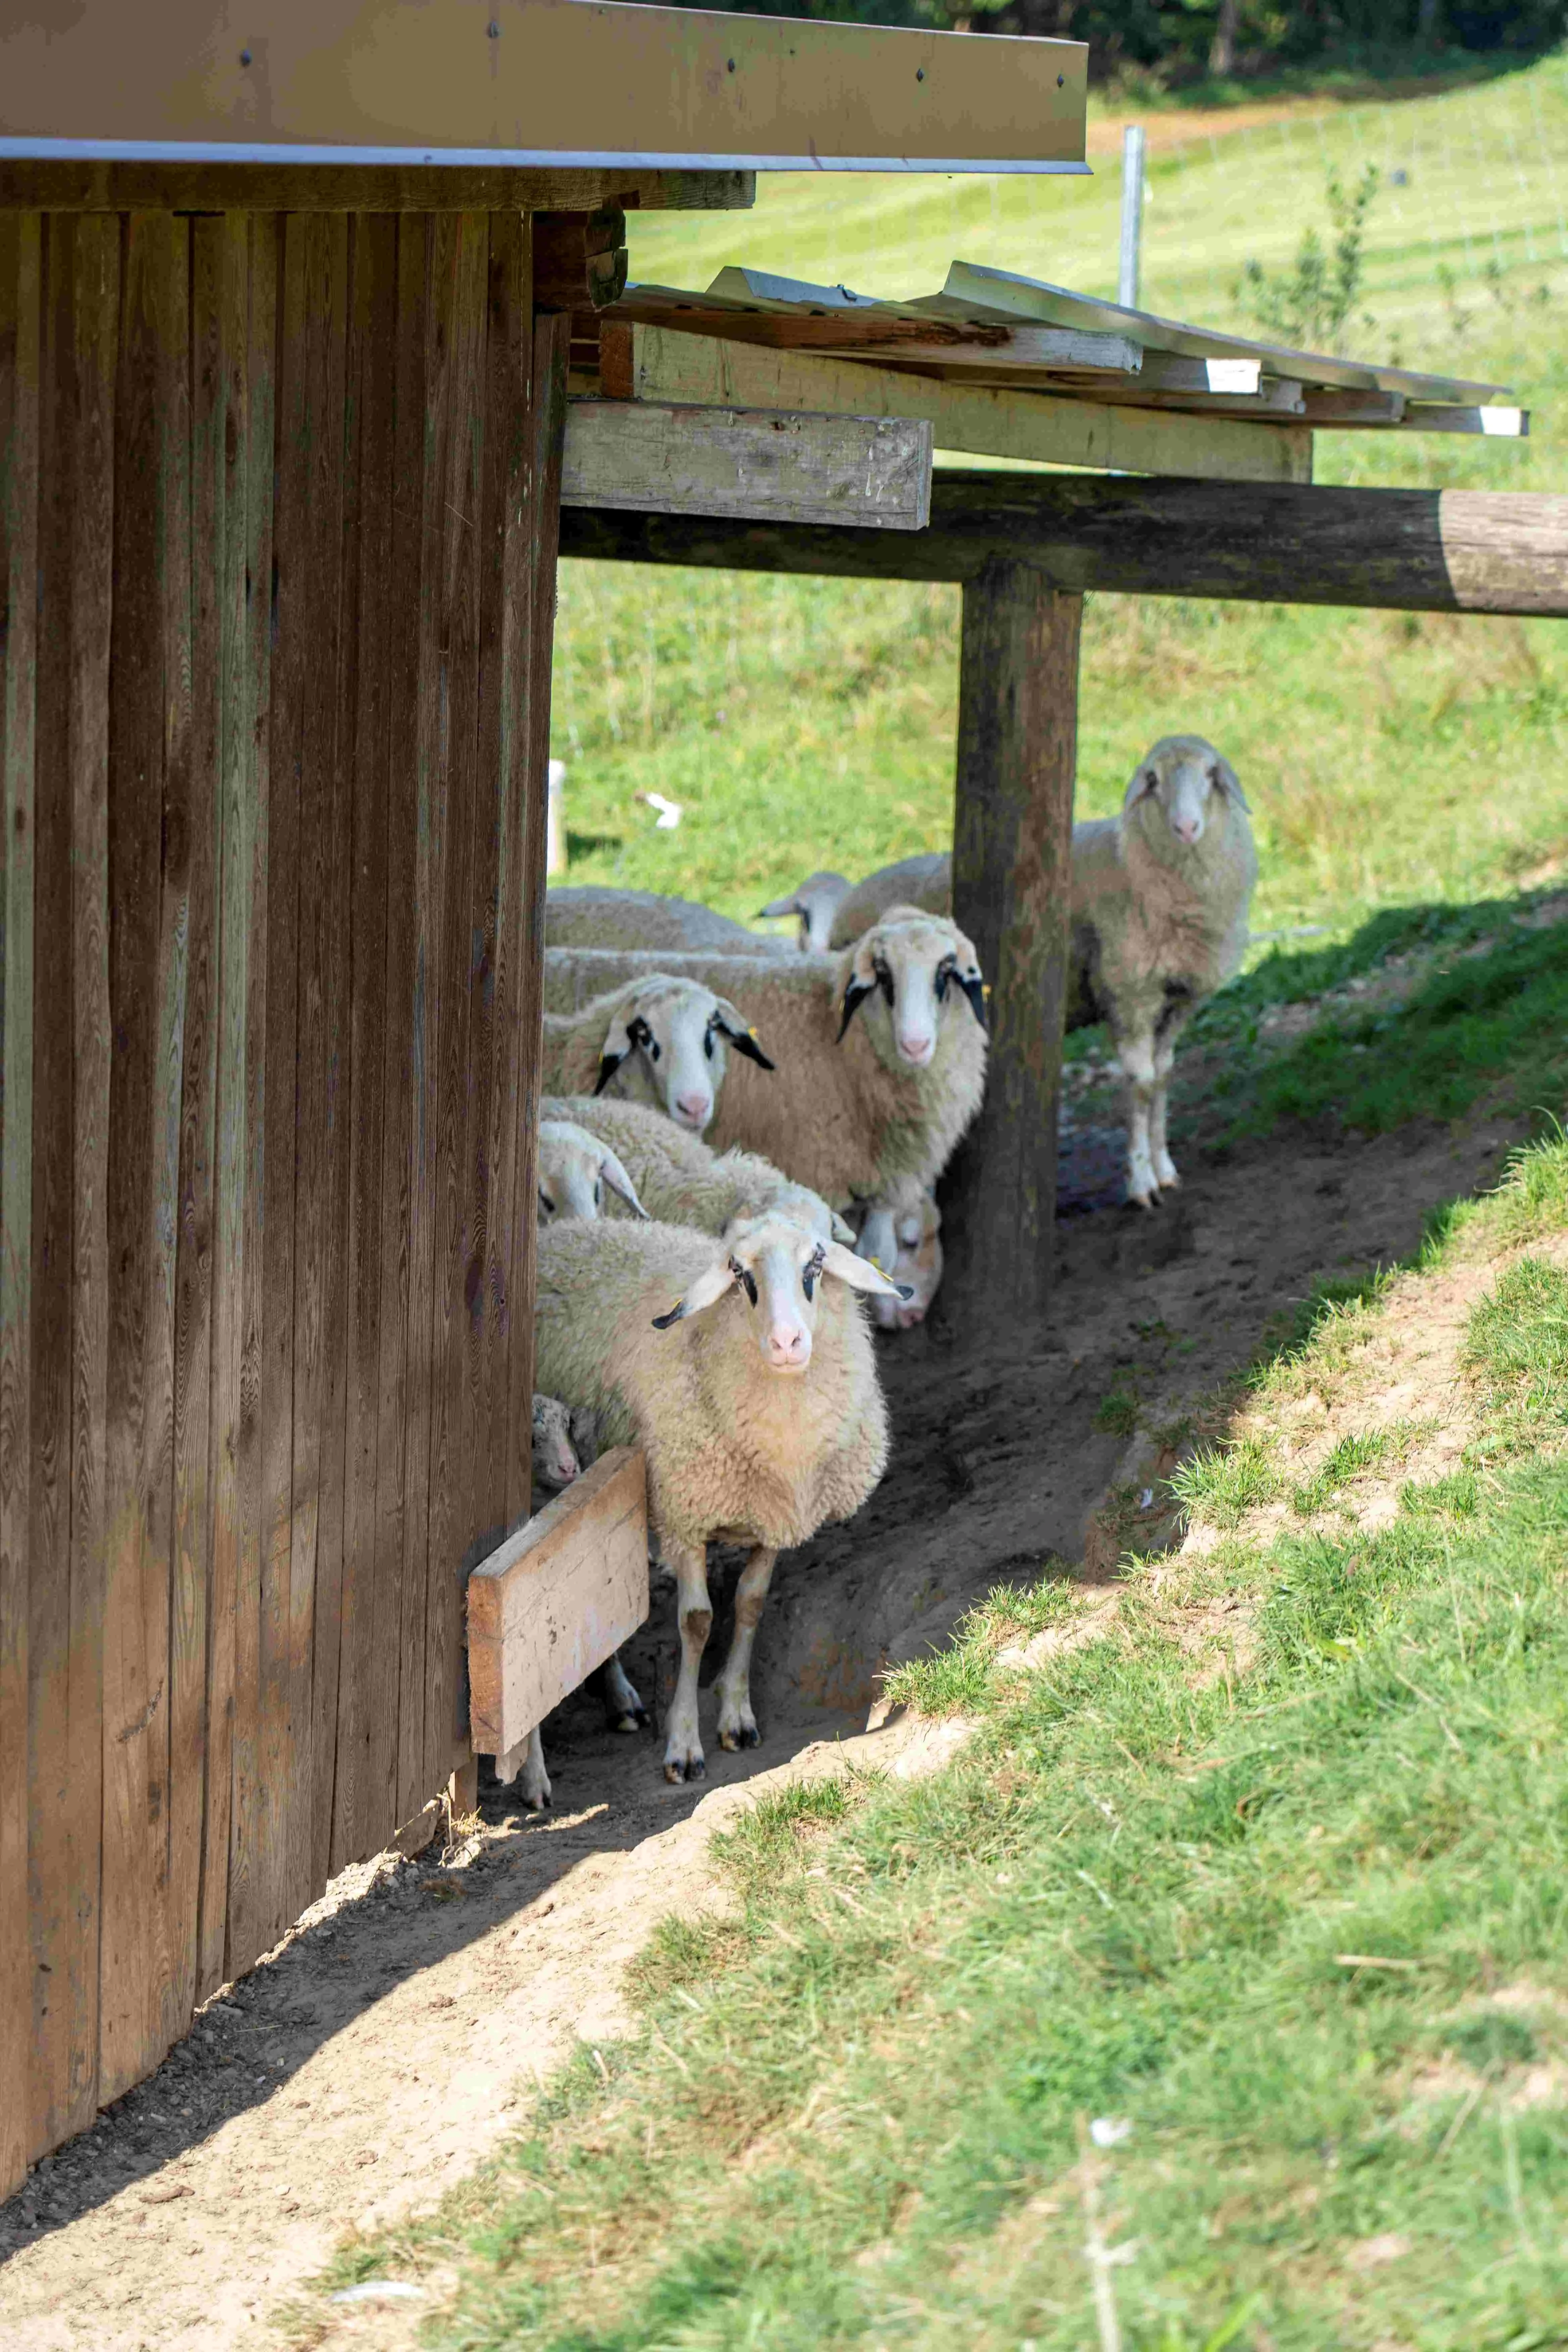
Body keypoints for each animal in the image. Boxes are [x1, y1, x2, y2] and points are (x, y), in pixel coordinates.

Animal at [536, 1214, 907, 1778]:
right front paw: (684, 1744)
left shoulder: (776, 1517)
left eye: (817, 1262)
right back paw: (621, 1699)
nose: (786, 1342)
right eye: (739, 1272)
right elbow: (697, 1623)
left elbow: (750, 1604)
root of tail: (565, 1230)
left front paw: (737, 1717)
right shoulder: (683, 1515)